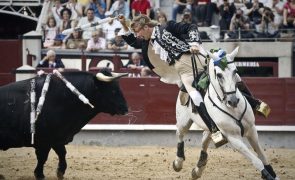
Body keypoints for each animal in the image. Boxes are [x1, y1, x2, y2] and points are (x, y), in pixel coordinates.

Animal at [0, 71, 128, 179]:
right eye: (113, 91)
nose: (125, 109)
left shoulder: (57, 138)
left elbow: (62, 153)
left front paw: (60, 172)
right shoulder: (44, 141)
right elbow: (43, 157)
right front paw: (40, 175)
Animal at [172, 47, 278, 180]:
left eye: (235, 71)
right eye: (219, 75)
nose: (233, 101)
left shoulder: (252, 130)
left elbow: (263, 157)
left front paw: (272, 175)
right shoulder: (233, 138)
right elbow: (257, 161)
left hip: (210, 128)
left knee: (205, 140)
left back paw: (198, 169)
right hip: (183, 121)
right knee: (179, 135)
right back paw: (178, 162)